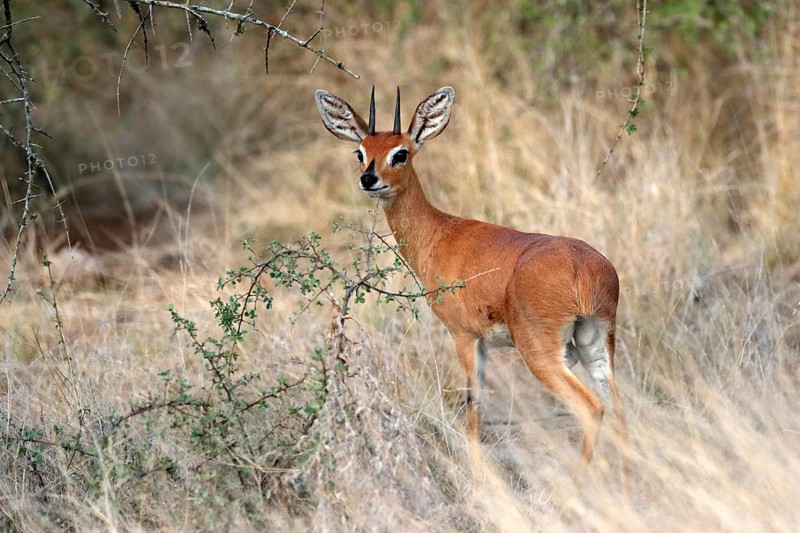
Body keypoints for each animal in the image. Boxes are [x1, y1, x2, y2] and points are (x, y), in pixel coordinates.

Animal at [314, 86, 627, 478]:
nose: (369, 179)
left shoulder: (464, 337)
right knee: (618, 410)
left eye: (400, 153)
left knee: (591, 409)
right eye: (360, 152)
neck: (439, 234)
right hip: (596, 341)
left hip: (542, 354)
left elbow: (472, 406)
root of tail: (583, 267)